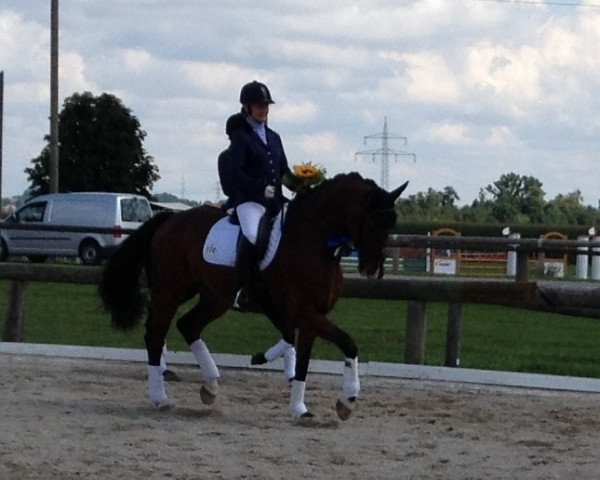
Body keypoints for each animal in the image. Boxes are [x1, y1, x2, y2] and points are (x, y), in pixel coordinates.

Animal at [99, 172, 408, 420]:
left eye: (391, 223)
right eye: (373, 221)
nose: (371, 269)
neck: (314, 242)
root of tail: (170, 219)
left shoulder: (312, 315)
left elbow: (304, 361)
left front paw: (299, 409)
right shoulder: (302, 311)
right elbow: (348, 343)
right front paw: (349, 399)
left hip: (215, 297)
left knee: (188, 325)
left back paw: (210, 386)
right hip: (170, 291)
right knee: (155, 334)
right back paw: (161, 398)